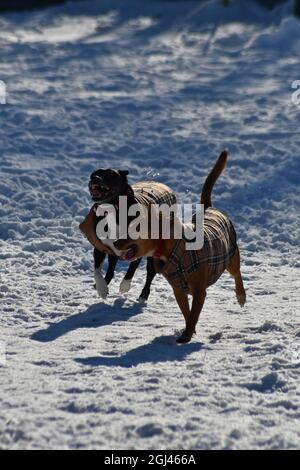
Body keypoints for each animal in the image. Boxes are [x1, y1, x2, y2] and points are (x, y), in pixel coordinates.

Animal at [114, 152, 246, 344]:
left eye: (133, 230)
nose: (115, 242)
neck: (172, 251)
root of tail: (209, 208)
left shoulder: (199, 291)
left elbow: (194, 313)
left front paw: (187, 335)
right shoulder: (178, 290)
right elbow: (187, 312)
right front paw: (189, 331)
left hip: (231, 256)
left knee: (237, 273)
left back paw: (241, 295)